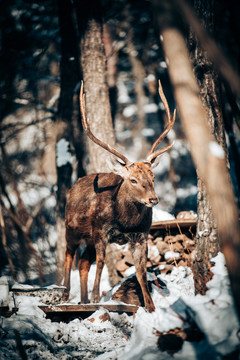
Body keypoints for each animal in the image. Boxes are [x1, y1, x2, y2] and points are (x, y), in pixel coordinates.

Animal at [62, 79, 174, 312]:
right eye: (132, 179)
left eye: (153, 176)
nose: (153, 199)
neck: (125, 222)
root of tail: (73, 186)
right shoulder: (100, 230)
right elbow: (102, 262)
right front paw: (97, 298)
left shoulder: (141, 235)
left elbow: (141, 271)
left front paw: (150, 307)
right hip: (71, 228)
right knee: (68, 256)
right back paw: (65, 296)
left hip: (86, 237)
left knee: (83, 262)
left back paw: (83, 301)